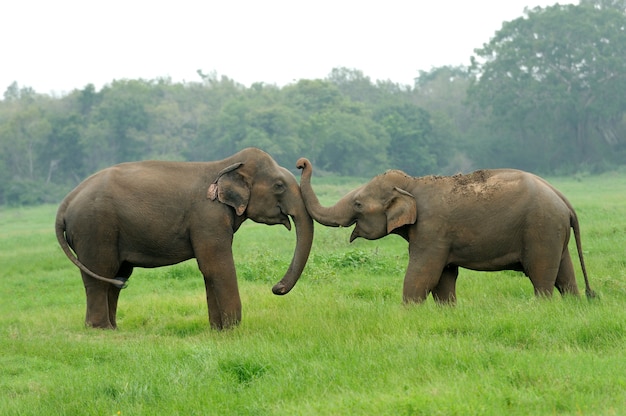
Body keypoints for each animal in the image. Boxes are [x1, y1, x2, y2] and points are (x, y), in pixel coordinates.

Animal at [54, 148, 312, 330]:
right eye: (279, 186)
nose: (276, 288)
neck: (225, 165)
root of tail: (66, 202)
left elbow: (209, 270)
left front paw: (217, 330)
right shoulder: (207, 217)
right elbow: (217, 266)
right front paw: (233, 330)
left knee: (117, 276)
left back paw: (113, 328)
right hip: (95, 228)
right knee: (101, 272)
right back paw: (100, 329)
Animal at [294, 158, 592, 304]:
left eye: (357, 203)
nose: (301, 163)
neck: (411, 184)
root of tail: (564, 200)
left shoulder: (431, 230)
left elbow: (423, 274)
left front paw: (407, 312)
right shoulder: (442, 238)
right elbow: (444, 278)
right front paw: (447, 310)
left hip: (541, 229)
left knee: (541, 276)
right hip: (554, 232)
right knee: (565, 275)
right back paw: (573, 305)